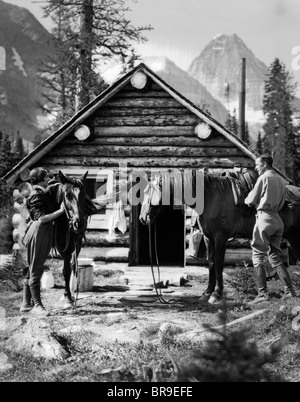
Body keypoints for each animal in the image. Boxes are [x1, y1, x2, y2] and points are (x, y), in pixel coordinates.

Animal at [139, 170, 300, 304]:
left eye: (149, 192)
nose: (142, 218)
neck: (211, 198)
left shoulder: (220, 237)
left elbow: (219, 264)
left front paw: (216, 295)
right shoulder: (209, 238)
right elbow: (211, 263)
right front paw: (206, 293)